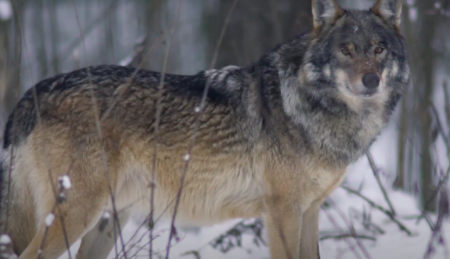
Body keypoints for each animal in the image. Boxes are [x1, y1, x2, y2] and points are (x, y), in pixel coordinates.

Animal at [0, 0, 408, 258]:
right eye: (347, 50)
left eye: (378, 49)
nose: (370, 81)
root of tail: (31, 93)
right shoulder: (282, 212)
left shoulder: (310, 211)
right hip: (73, 217)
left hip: (104, 224)